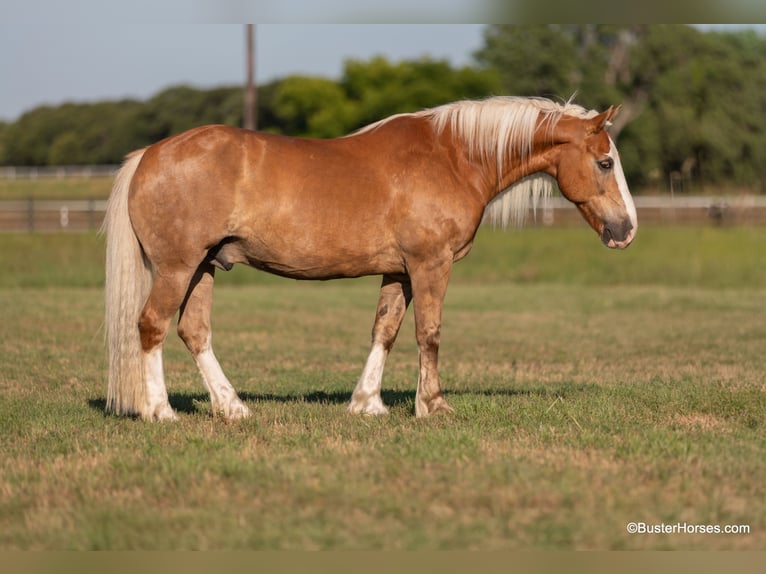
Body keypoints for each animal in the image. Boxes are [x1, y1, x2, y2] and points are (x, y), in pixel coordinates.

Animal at [102, 96, 637, 422]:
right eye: (605, 162)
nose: (626, 230)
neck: (453, 157)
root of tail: (149, 154)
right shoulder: (430, 265)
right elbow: (429, 332)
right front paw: (433, 405)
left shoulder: (399, 272)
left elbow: (386, 330)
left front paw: (368, 403)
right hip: (177, 268)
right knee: (151, 326)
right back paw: (160, 411)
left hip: (205, 267)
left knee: (194, 332)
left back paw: (232, 407)